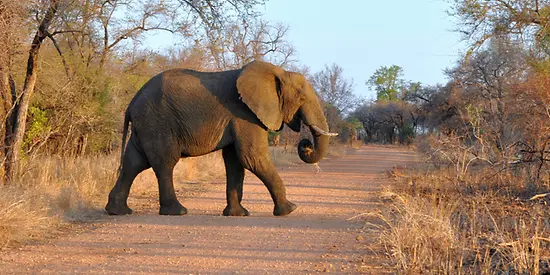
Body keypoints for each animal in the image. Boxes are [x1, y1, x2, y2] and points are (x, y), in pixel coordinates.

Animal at [103, 61, 336, 218]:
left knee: (134, 162)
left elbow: (235, 161)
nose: (306, 145)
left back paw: (118, 211)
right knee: (164, 163)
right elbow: (252, 158)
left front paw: (238, 214)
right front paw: (290, 209)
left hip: (146, 125)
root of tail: (131, 103)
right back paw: (177, 212)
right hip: (157, 122)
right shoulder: (245, 115)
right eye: (302, 99)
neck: (277, 72)